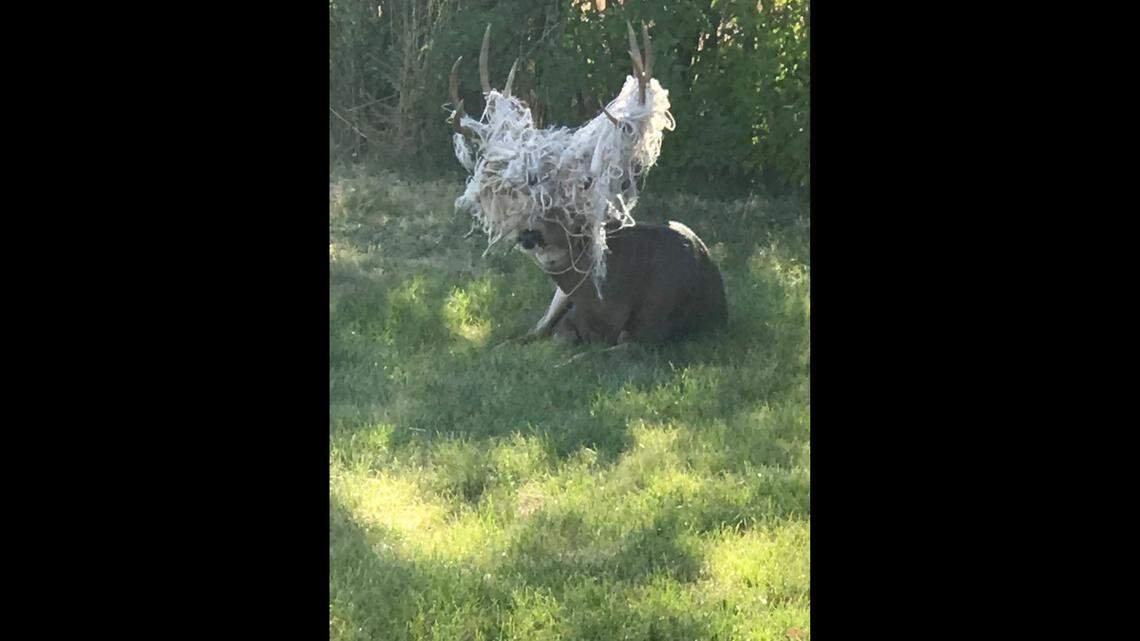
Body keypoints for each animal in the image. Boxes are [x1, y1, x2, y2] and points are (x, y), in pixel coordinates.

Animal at [449, 24, 727, 350]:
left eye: (567, 194)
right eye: (521, 191)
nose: (529, 235)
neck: (606, 305)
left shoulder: (652, 329)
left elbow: (615, 344)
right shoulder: (568, 317)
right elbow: (560, 336)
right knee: (529, 332)